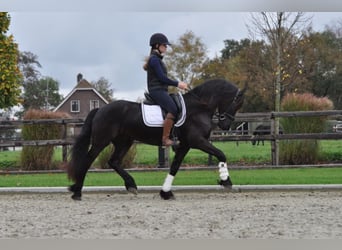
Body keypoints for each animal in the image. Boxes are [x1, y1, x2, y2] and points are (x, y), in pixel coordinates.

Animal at [67, 79, 244, 200]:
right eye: (236, 104)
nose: (225, 125)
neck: (199, 107)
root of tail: (100, 109)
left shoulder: (185, 145)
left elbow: (175, 166)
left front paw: (165, 192)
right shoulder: (197, 141)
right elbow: (221, 154)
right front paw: (226, 181)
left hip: (124, 141)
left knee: (114, 161)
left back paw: (131, 185)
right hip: (101, 141)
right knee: (88, 160)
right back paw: (77, 191)